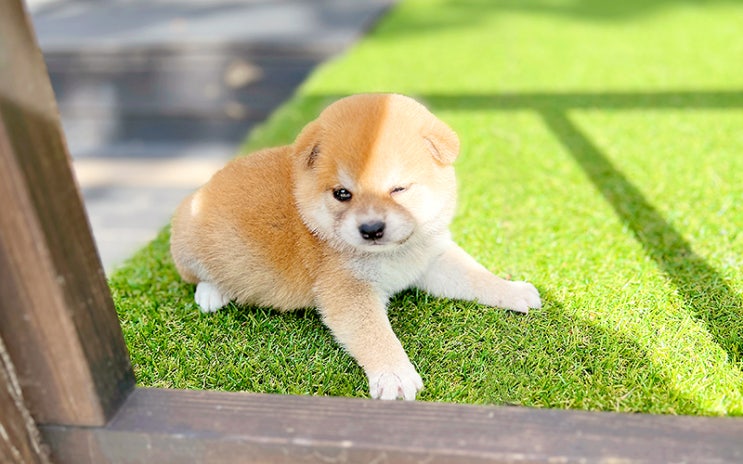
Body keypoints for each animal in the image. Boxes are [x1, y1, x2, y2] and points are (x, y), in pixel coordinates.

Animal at [170, 93, 541, 400]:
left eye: (398, 189)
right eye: (342, 193)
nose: (372, 228)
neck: (394, 255)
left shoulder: (431, 259)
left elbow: (476, 277)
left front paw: (511, 290)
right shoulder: (349, 290)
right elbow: (374, 334)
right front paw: (394, 374)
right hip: (187, 241)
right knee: (196, 276)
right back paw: (213, 292)